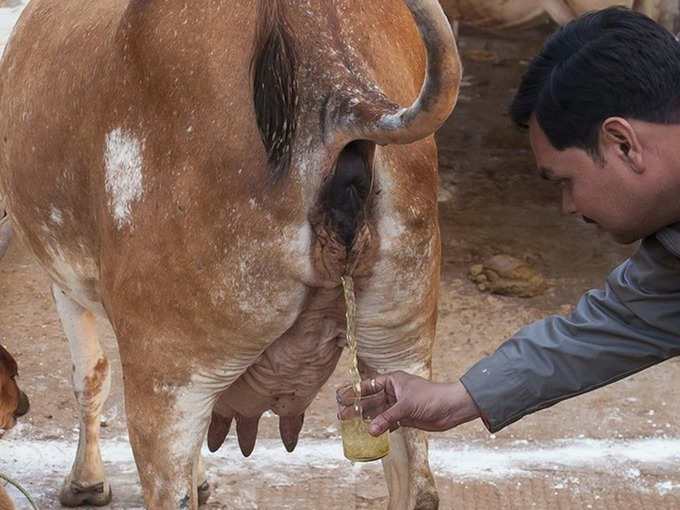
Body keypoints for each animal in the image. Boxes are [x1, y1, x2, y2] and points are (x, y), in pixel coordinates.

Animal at [0, 0, 462, 510]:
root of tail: (336, 81)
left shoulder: (65, 277)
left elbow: (90, 375)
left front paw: (85, 483)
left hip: (168, 377)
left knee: (169, 483)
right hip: (399, 345)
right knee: (417, 482)